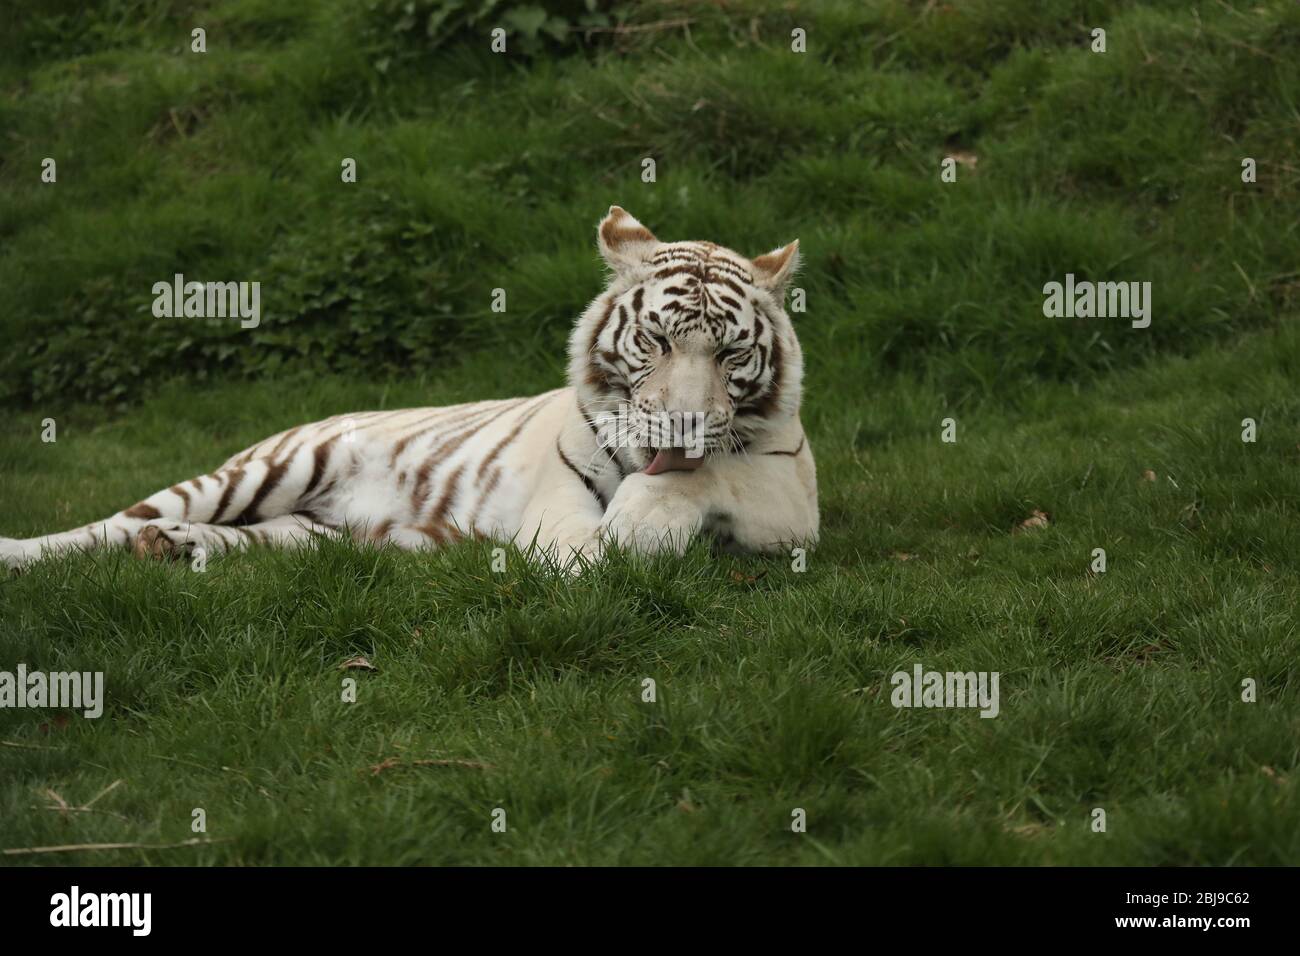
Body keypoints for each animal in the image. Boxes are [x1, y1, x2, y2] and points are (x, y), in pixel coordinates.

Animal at [0, 209, 816, 567]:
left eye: (731, 351)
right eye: (657, 340)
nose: (683, 425)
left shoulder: (792, 494)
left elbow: (714, 471)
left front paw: (647, 518)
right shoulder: (557, 496)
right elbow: (586, 543)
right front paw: (622, 540)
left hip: (309, 536)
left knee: (246, 543)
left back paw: (174, 548)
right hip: (265, 470)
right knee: (104, 527)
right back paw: (33, 550)